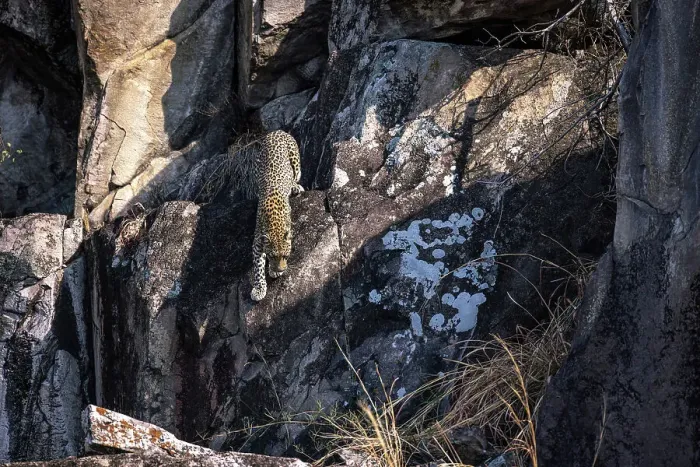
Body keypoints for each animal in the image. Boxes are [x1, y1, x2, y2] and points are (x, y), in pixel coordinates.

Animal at [232, 130, 303, 302]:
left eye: (286, 256)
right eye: (272, 256)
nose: (282, 269)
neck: (274, 221)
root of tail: (277, 131)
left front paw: (274, 271)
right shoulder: (257, 243)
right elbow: (258, 269)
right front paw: (259, 289)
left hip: (295, 160)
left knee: (295, 176)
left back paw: (296, 187)